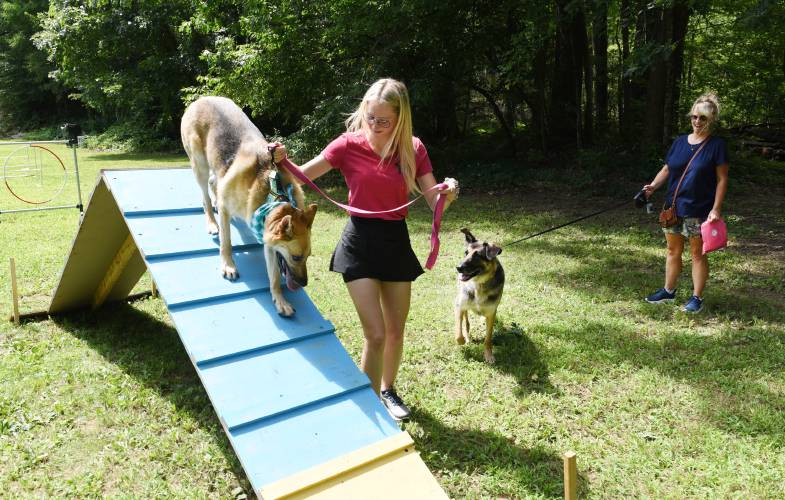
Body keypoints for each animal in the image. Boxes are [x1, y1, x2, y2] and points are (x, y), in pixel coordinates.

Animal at [181, 96, 316, 316]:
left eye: (308, 256)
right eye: (296, 257)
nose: (303, 283)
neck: (272, 190)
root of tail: (202, 99)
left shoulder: (269, 241)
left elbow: (274, 276)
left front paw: (279, 299)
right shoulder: (227, 212)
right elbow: (226, 243)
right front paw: (228, 265)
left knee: (214, 183)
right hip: (199, 165)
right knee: (205, 196)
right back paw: (211, 222)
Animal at [456, 228, 506, 364]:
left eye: (477, 255)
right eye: (466, 253)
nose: (458, 267)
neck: (479, 284)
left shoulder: (491, 313)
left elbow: (488, 339)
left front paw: (488, 355)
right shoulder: (459, 306)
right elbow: (458, 333)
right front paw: (463, 340)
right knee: (466, 321)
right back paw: (467, 337)